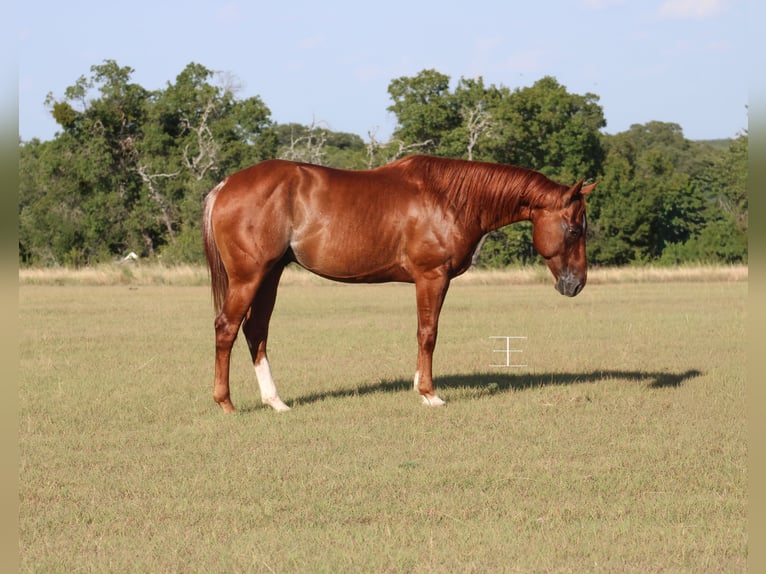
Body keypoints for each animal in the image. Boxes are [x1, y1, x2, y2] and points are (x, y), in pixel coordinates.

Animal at [202, 155, 596, 413]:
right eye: (575, 230)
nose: (577, 284)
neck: (449, 198)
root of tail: (225, 186)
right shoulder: (432, 277)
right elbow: (428, 333)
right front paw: (430, 393)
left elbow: (422, 332)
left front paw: (418, 385)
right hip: (249, 277)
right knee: (226, 328)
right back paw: (226, 403)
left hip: (270, 275)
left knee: (255, 331)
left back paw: (276, 401)